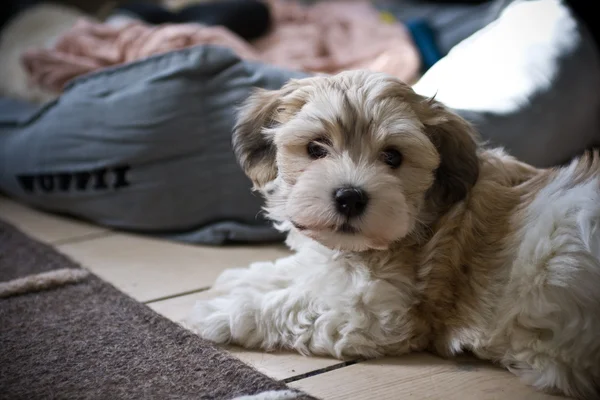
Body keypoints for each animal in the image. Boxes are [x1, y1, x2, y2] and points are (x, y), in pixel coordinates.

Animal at [188, 70, 600, 398]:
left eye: (393, 157)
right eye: (316, 148)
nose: (350, 196)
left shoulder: (378, 314)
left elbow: (293, 305)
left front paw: (221, 311)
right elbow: (300, 271)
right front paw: (241, 278)